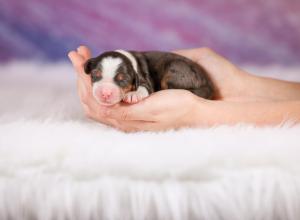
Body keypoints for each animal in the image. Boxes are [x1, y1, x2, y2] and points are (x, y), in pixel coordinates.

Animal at [84, 49, 214, 105]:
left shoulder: (145, 80)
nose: (105, 93)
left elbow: (143, 87)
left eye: (123, 79)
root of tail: (207, 83)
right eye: (95, 74)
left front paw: (133, 95)